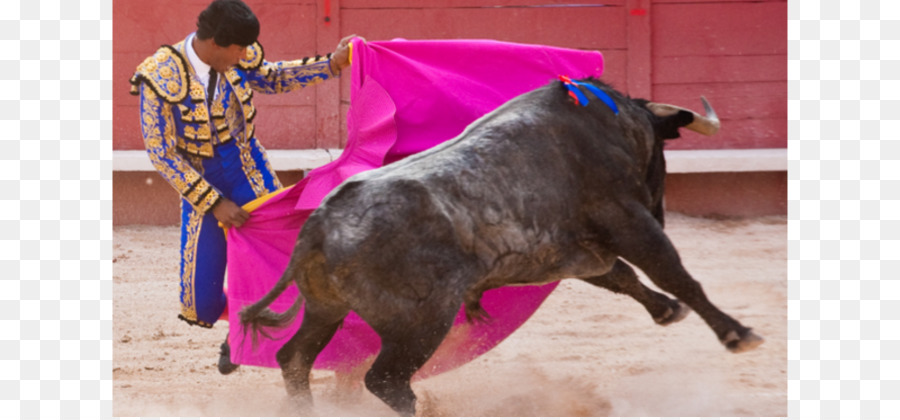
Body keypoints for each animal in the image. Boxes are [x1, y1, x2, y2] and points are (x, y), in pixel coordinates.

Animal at [243, 77, 764, 416]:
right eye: (662, 147)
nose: (662, 206)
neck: (612, 124)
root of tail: (318, 225)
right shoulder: (630, 221)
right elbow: (673, 272)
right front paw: (738, 333)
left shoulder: (575, 252)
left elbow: (623, 276)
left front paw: (666, 311)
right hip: (422, 322)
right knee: (385, 380)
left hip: (326, 308)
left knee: (295, 359)